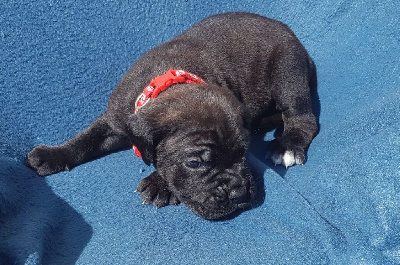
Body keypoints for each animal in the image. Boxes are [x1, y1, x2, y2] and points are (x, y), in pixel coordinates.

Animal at [25, 12, 318, 219]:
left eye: (244, 153)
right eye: (194, 164)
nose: (239, 193)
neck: (171, 82)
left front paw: (158, 183)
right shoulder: (114, 120)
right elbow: (86, 139)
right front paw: (53, 154)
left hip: (287, 72)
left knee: (302, 116)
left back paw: (287, 145)